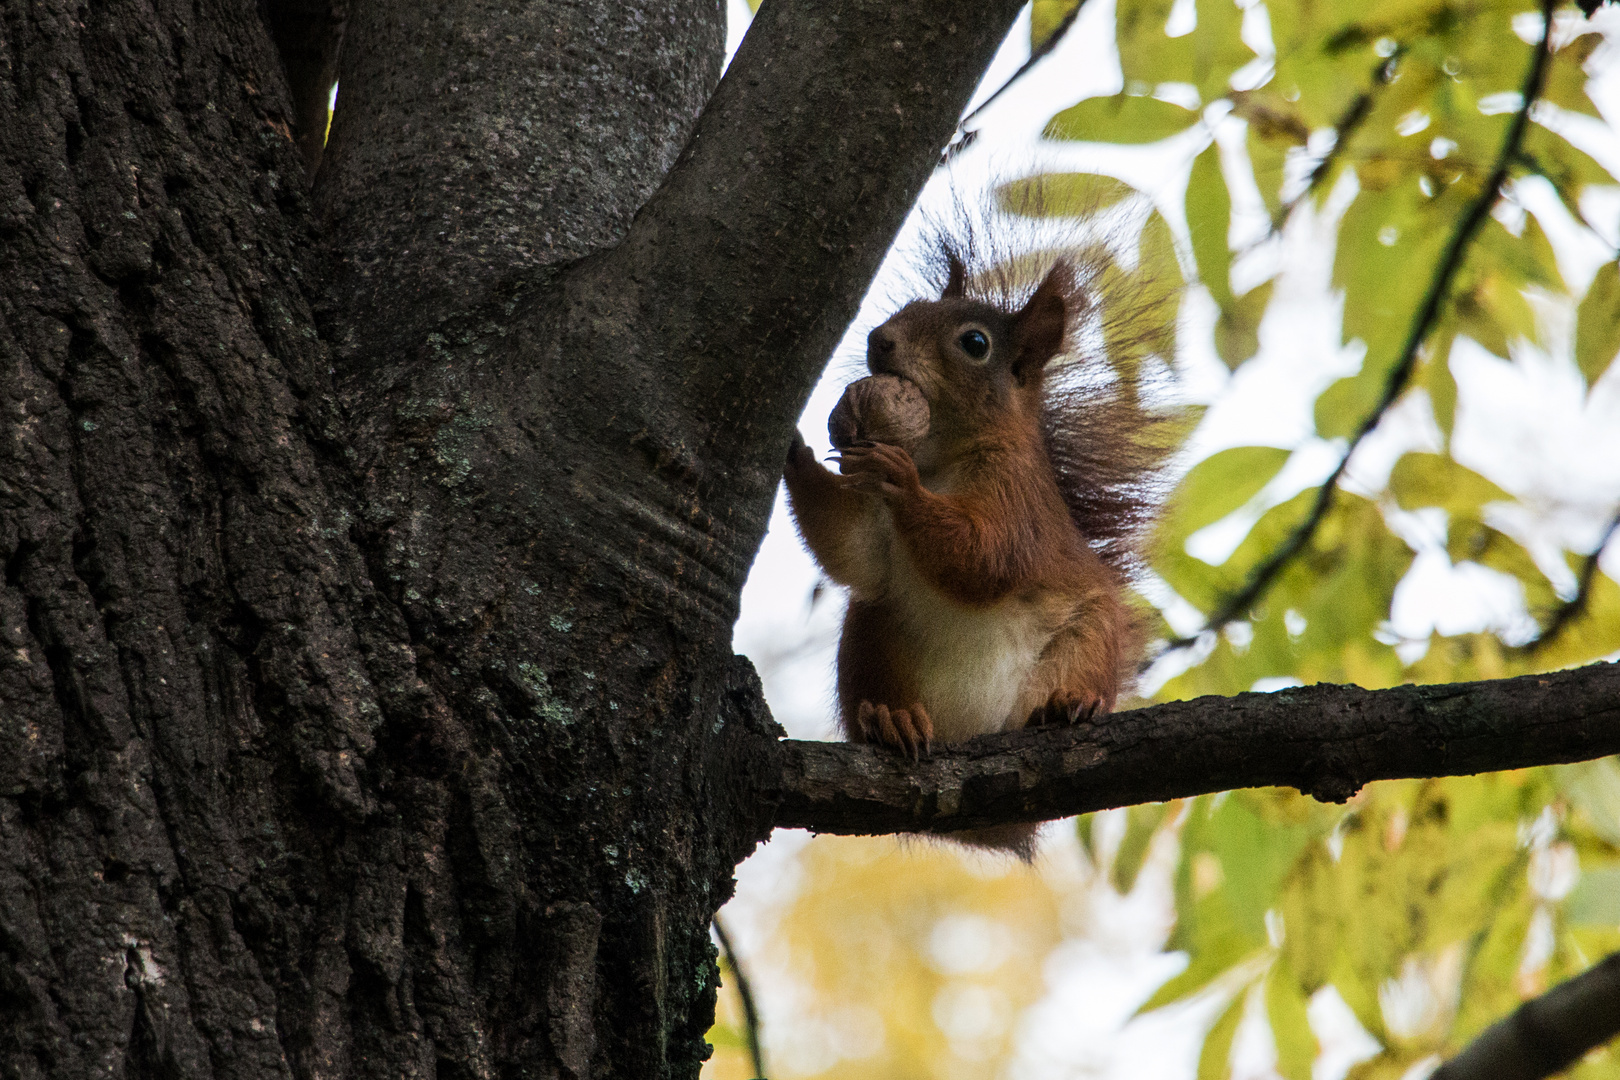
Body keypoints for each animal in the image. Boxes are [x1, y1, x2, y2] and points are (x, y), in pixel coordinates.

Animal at [784, 247, 1166, 861]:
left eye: (975, 343)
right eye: (911, 306)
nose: (879, 340)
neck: (940, 458)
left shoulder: (1016, 501)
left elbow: (984, 561)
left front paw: (902, 480)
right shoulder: (870, 526)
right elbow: (853, 550)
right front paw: (794, 449)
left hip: (1087, 638)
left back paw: (1070, 704)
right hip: (871, 633)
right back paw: (890, 719)